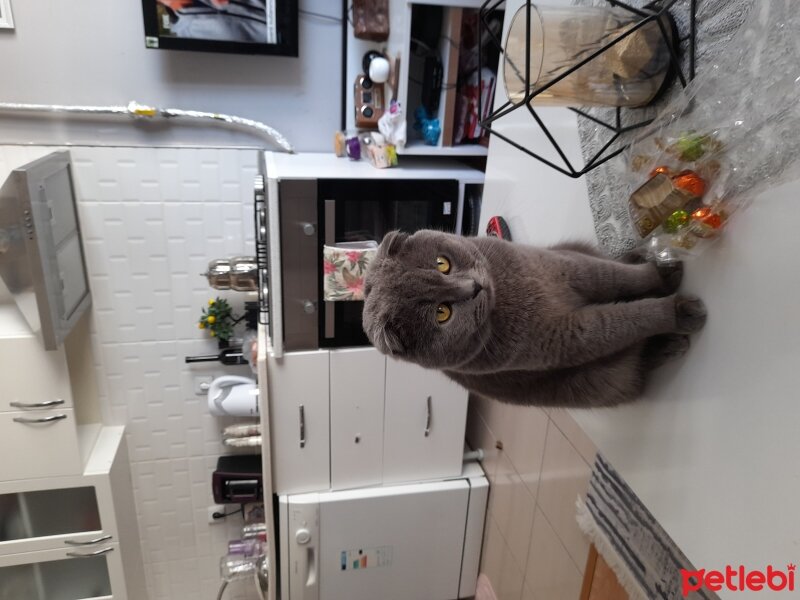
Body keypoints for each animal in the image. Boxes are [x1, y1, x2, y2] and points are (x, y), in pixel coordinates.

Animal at [362, 230, 708, 408]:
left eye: (442, 263)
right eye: (442, 313)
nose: (474, 287)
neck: (504, 294)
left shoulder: (570, 266)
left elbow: (617, 276)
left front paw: (662, 273)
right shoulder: (567, 335)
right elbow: (622, 319)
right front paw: (681, 311)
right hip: (599, 384)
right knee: (634, 366)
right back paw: (672, 343)